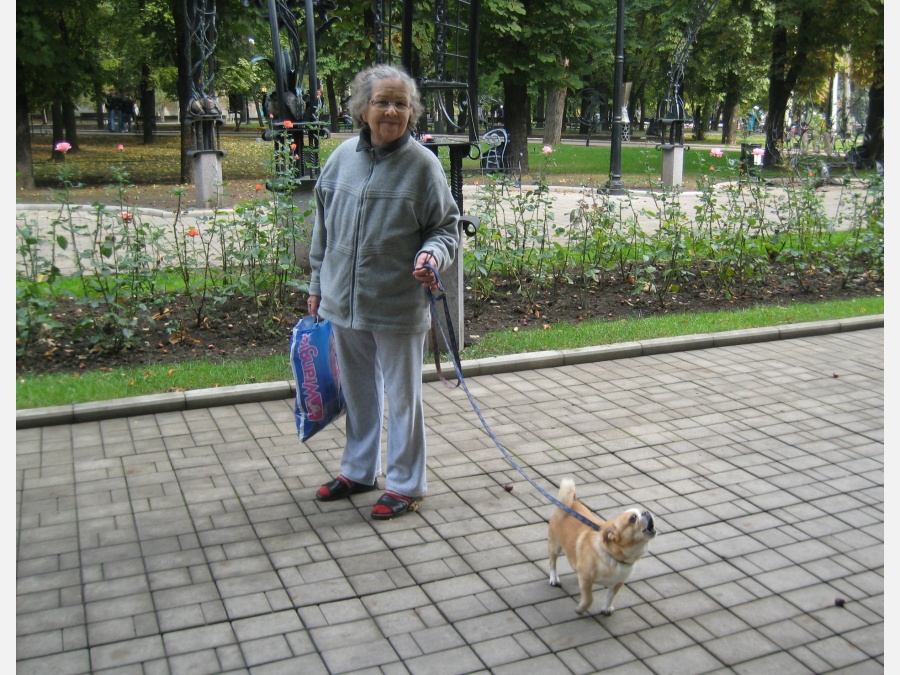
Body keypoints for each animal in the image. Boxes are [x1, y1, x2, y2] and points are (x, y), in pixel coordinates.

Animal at [544, 478, 656, 616]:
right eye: (633, 518)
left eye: (642, 511)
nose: (646, 511)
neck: (614, 558)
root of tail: (572, 502)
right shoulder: (586, 580)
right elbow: (589, 599)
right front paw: (581, 609)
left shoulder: (618, 582)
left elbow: (610, 596)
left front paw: (607, 607)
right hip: (554, 546)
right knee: (552, 562)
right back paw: (554, 578)